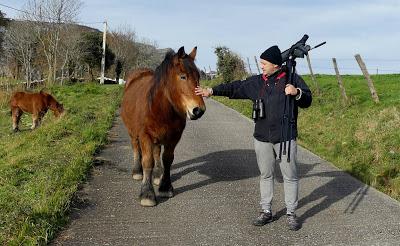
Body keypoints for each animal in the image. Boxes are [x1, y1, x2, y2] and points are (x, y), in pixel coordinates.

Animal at [120, 46, 205, 206]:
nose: (199, 110)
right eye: (183, 76)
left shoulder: (174, 137)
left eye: (198, 76)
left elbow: (167, 160)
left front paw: (165, 187)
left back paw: (158, 175)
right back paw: (137, 172)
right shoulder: (145, 135)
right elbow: (147, 161)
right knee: (136, 147)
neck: (159, 107)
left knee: (156, 152)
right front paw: (147, 194)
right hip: (133, 132)